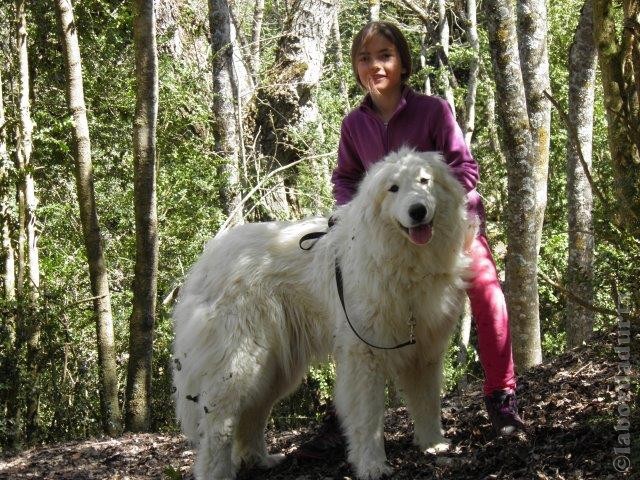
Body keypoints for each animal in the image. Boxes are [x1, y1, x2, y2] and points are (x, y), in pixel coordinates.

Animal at [172, 148, 472, 478]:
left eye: (424, 181)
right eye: (393, 189)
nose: (417, 211)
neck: (403, 259)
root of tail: (206, 260)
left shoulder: (424, 351)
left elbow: (428, 402)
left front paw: (434, 444)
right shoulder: (364, 354)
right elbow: (368, 417)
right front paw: (372, 464)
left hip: (275, 368)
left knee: (251, 414)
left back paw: (260, 459)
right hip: (240, 361)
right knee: (218, 422)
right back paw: (218, 471)